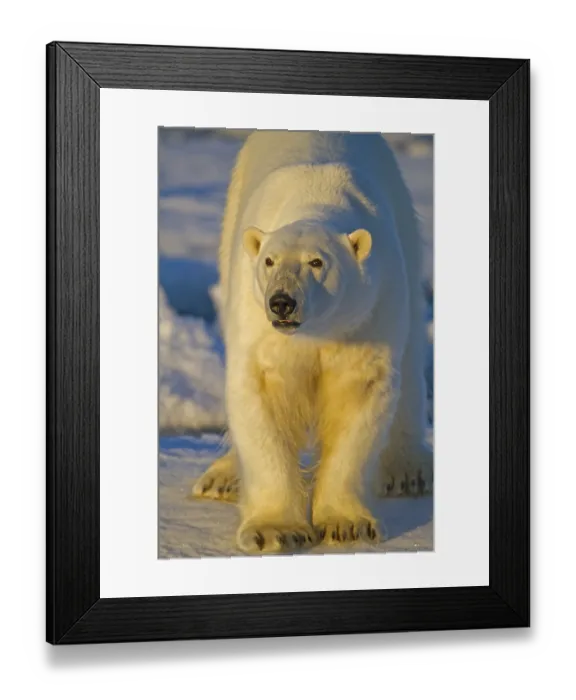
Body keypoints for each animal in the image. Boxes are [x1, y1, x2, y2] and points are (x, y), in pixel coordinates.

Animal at [192, 130, 433, 554]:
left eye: (317, 262)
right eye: (269, 261)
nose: (282, 302)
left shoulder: (368, 310)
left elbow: (358, 394)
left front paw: (347, 525)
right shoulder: (258, 322)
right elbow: (262, 393)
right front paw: (274, 530)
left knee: (412, 353)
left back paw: (409, 471)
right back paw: (221, 478)